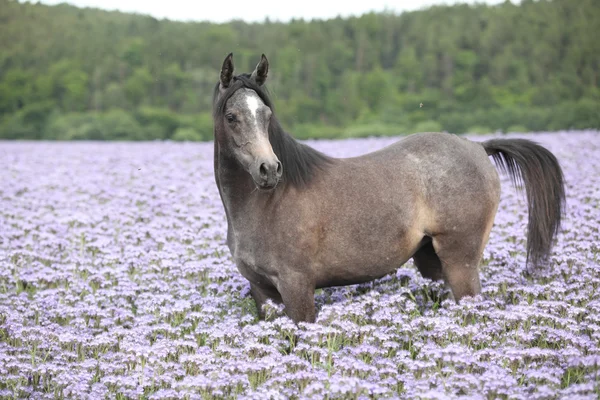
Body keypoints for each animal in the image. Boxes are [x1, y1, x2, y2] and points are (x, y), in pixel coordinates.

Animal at [212, 51, 568, 324]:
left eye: (266, 115)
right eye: (231, 116)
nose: (269, 170)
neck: (266, 206)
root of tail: (479, 146)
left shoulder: (297, 287)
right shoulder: (263, 292)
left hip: (461, 262)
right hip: (431, 261)